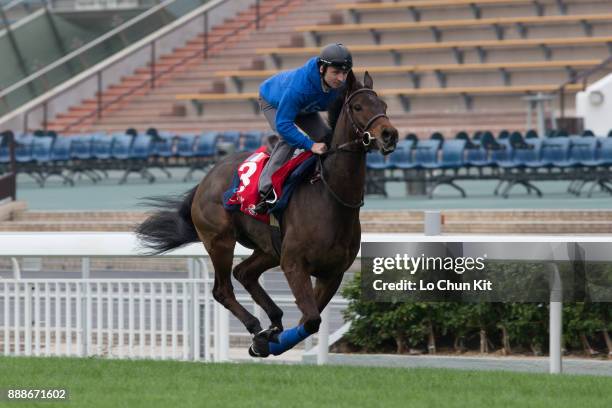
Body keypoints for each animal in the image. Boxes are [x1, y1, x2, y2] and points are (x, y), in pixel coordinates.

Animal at [136, 71, 400, 356]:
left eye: (384, 106)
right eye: (358, 106)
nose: (389, 134)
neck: (330, 197)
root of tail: (206, 178)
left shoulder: (332, 273)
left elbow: (309, 320)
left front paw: (272, 340)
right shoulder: (294, 264)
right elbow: (311, 320)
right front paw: (266, 342)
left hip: (269, 249)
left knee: (244, 273)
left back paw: (272, 322)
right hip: (220, 240)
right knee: (223, 290)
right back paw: (257, 327)